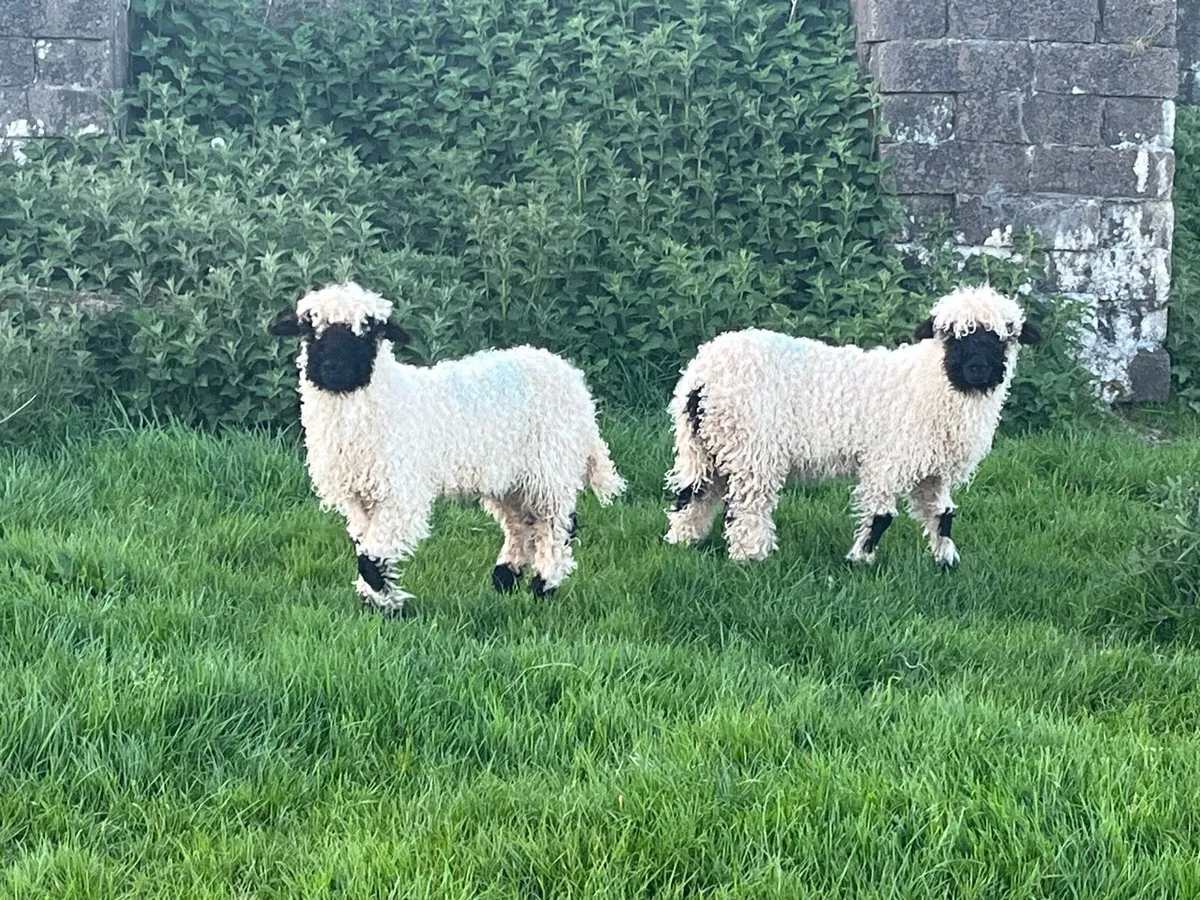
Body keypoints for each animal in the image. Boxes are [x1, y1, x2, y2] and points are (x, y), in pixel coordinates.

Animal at [269, 281, 625, 615]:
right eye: (309, 328)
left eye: (370, 330)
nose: (333, 368)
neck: (382, 401)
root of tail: (571, 377)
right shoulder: (359, 498)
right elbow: (367, 550)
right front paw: (380, 601)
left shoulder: (402, 493)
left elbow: (372, 557)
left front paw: (389, 603)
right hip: (510, 477)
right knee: (519, 524)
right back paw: (505, 577)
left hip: (551, 468)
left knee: (555, 526)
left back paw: (543, 585)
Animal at [663, 284, 1041, 567]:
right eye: (950, 335)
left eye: (1005, 337)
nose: (977, 369)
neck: (933, 383)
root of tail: (702, 376)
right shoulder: (890, 459)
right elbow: (880, 515)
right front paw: (860, 559)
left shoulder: (931, 471)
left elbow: (943, 515)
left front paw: (946, 560)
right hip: (752, 447)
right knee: (745, 505)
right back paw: (751, 555)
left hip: (703, 444)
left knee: (691, 493)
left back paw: (683, 540)